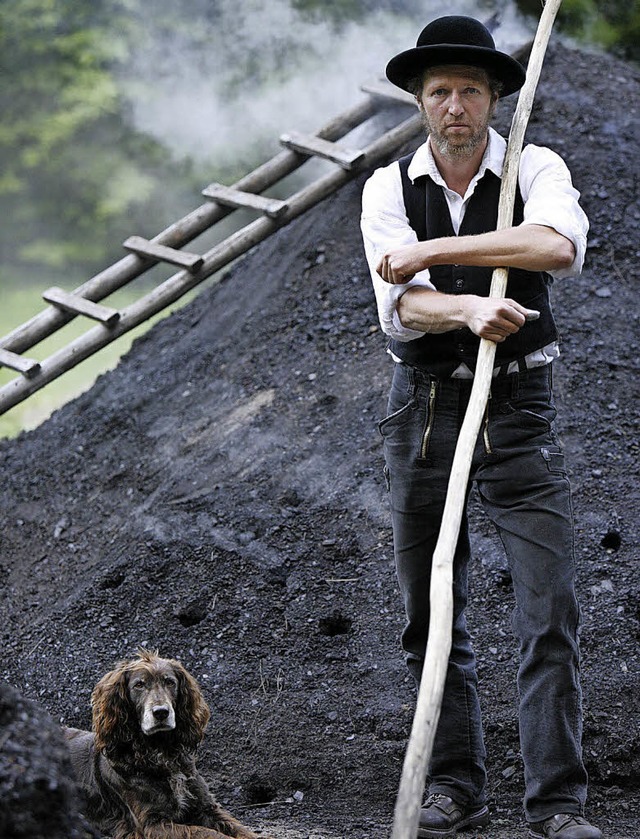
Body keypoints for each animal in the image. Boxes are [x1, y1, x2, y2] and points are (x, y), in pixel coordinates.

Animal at [64, 652, 262, 836]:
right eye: (139, 685)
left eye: (170, 682)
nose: (161, 712)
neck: (161, 752)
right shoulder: (151, 824)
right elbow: (206, 832)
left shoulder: (207, 807)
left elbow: (242, 830)